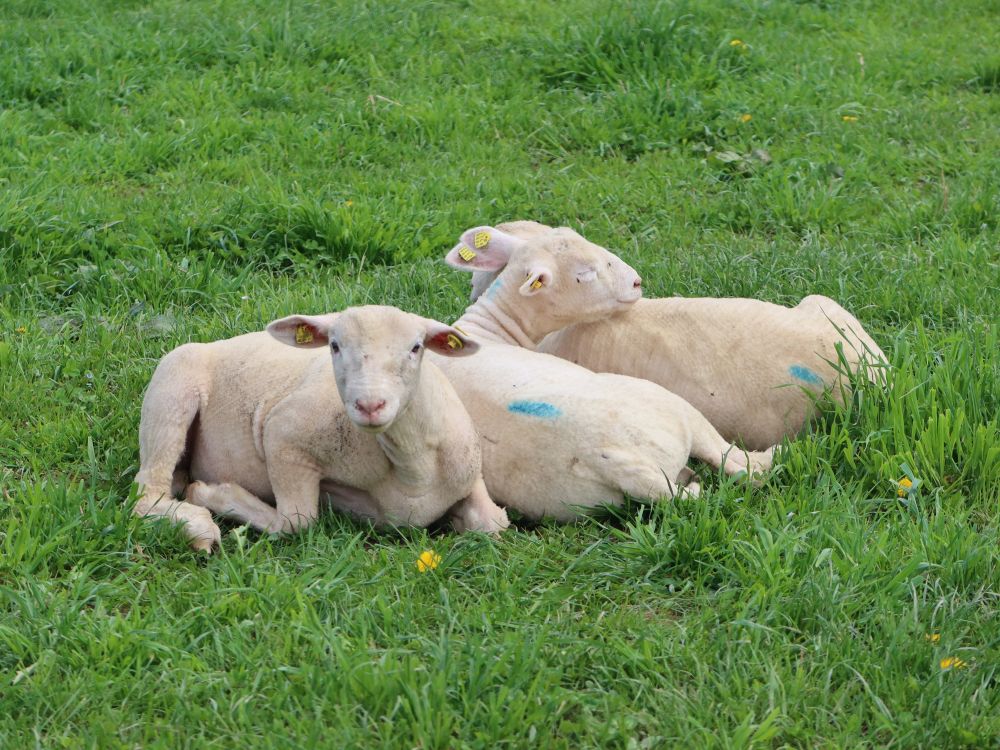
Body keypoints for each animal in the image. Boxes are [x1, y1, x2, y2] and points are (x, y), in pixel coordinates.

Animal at [133, 305, 509, 551]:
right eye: (335, 346)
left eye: (416, 347)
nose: (369, 405)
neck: (414, 470)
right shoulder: (283, 433)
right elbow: (296, 522)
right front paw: (213, 494)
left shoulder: (471, 471)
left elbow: (494, 524)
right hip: (171, 389)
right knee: (146, 493)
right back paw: (197, 527)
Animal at [429, 224, 774, 521]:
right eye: (584, 274)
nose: (636, 282)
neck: (487, 327)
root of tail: (618, 461)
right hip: (674, 406)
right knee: (742, 464)